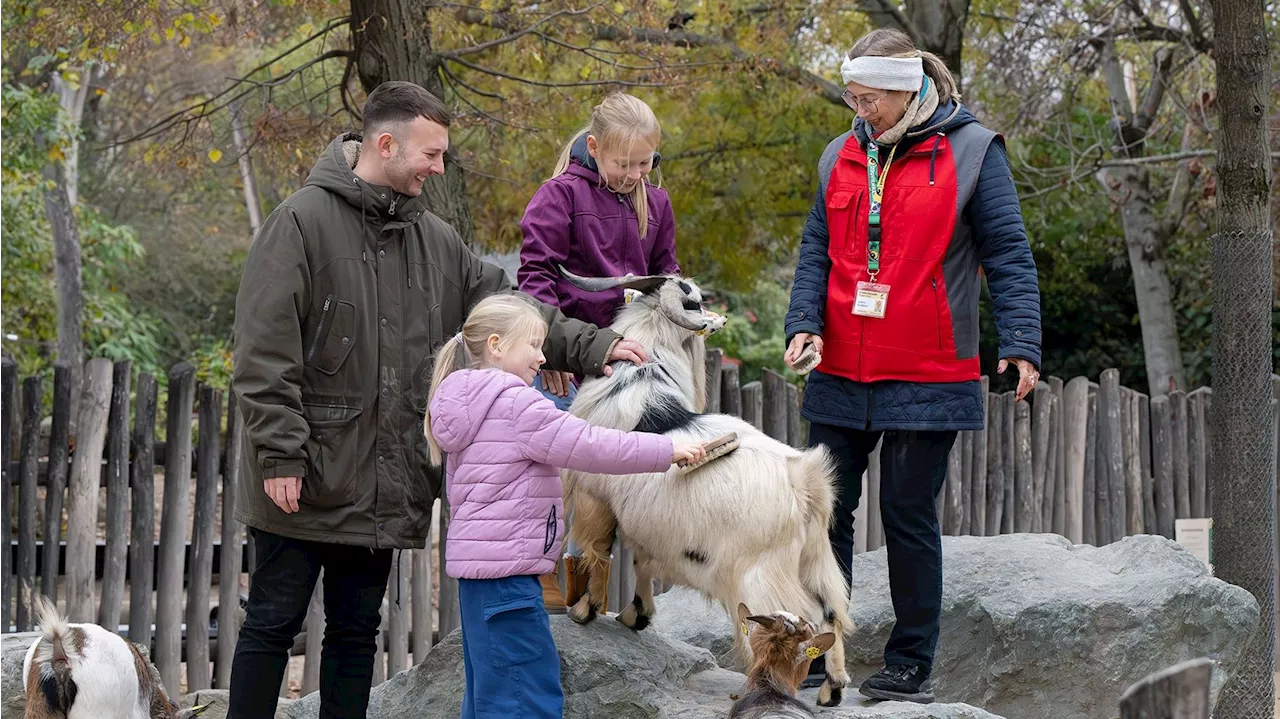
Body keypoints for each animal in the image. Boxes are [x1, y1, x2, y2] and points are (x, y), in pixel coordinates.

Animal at [558, 266, 849, 701]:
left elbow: (598, 553)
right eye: (694, 300)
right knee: (831, 613)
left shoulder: (596, 501)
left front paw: (584, 611)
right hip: (814, 560)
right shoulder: (651, 528)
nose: (718, 320)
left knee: (801, 625)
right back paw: (833, 690)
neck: (637, 382)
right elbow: (641, 563)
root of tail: (805, 483)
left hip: (759, 579)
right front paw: (635, 615)